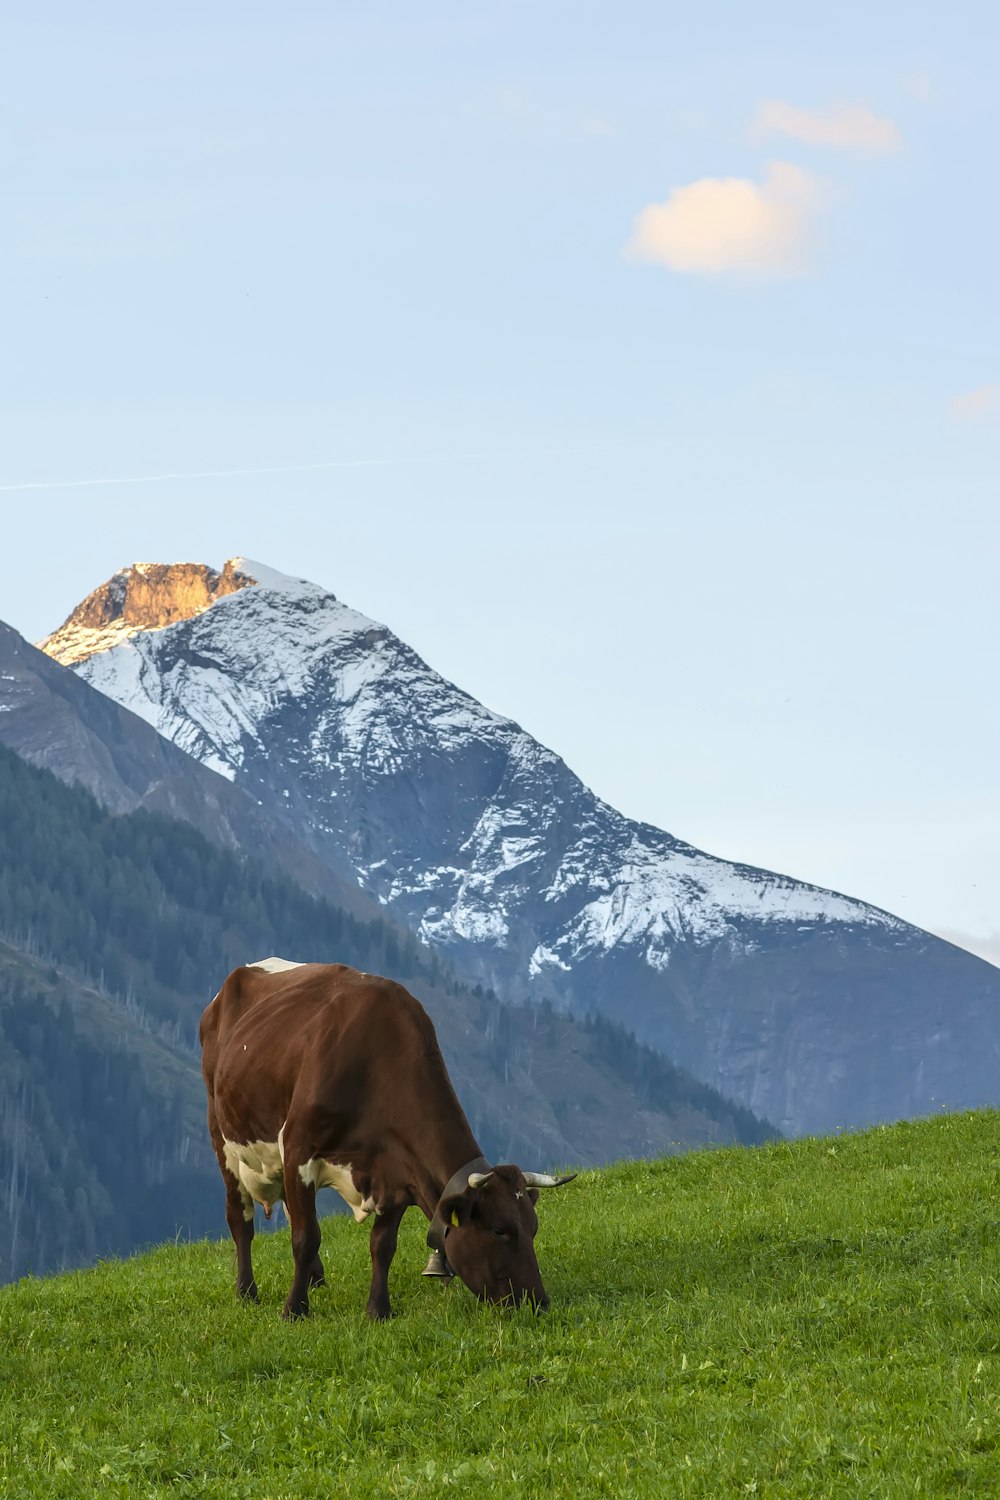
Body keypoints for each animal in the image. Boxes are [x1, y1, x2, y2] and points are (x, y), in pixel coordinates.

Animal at [199, 954, 575, 1320]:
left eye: (533, 1227)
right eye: (499, 1230)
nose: (537, 1302)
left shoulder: (398, 1168)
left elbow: (383, 1244)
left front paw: (378, 1309)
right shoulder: (298, 1149)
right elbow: (305, 1238)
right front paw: (294, 1309)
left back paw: (316, 1279)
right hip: (222, 1137)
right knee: (241, 1220)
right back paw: (246, 1292)